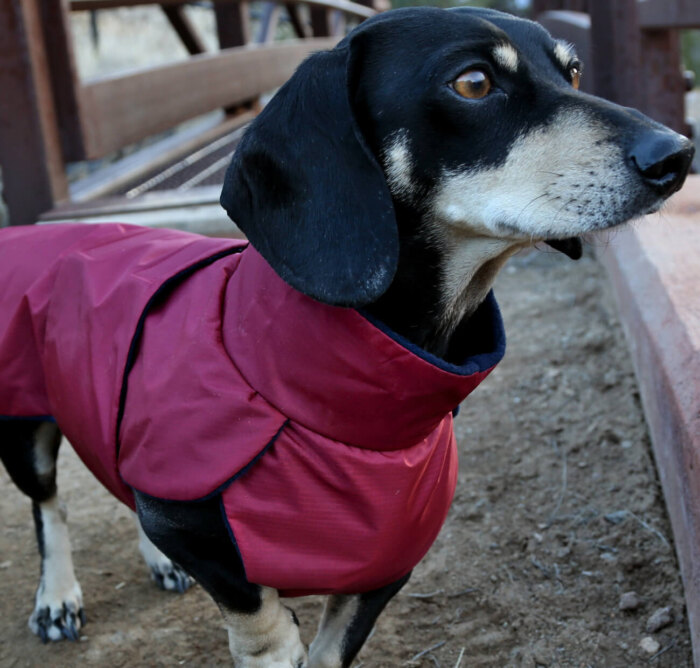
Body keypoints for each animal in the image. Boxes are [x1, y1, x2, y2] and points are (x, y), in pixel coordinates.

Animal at [0, 6, 692, 668]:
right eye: (473, 83)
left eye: (572, 72)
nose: (678, 154)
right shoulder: (193, 522)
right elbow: (261, 622)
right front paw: (271, 641)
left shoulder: (385, 567)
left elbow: (331, 649)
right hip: (25, 431)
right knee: (49, 506)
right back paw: (57, 597)